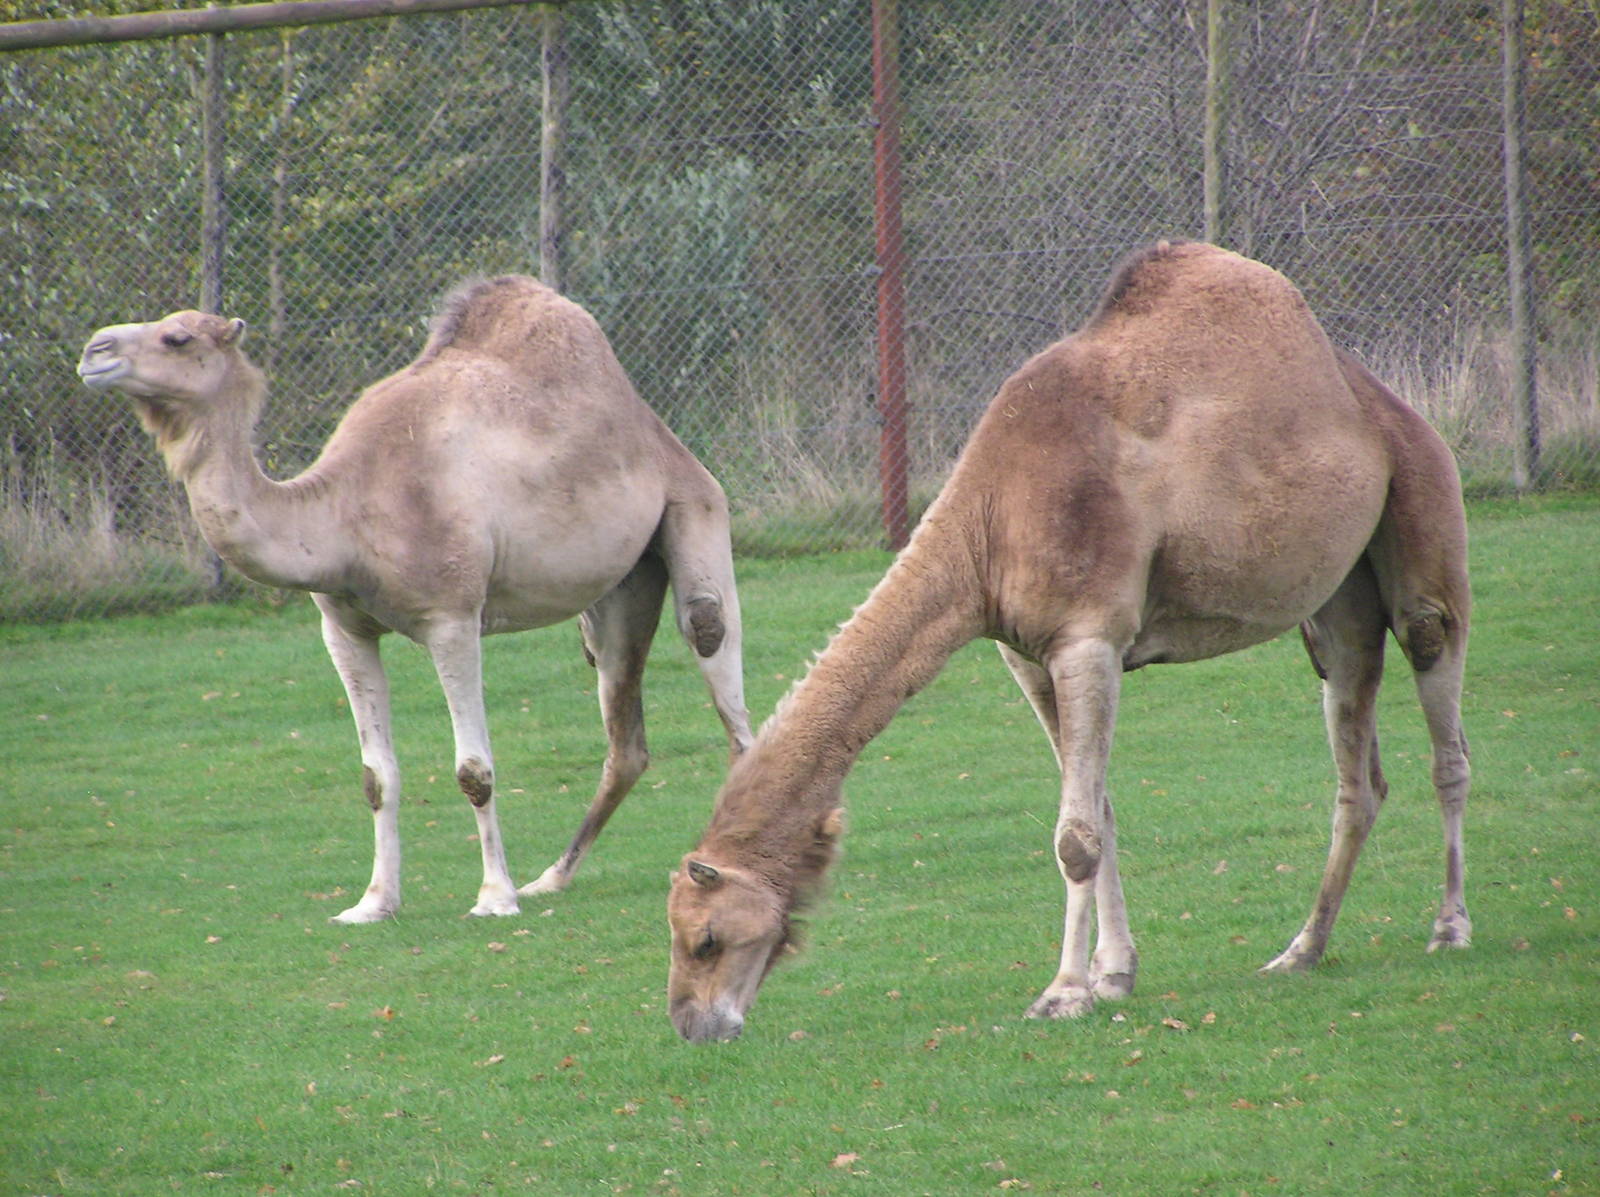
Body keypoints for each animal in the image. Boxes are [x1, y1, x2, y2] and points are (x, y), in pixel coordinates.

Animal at [79, 275, 753, 923]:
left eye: (177, 338)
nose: (94, 351)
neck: (344, 513)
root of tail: (655, 428)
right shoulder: (344, 628)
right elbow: (375, 777)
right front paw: (373, 903)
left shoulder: (452, 617)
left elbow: (474, 772)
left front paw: (494, 897)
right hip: (619, 590)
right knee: (625, 738)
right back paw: (551, 878)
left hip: (695, 508)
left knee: (718, 660)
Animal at [666, 241, 1471, 1042]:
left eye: (705, 938)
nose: (692, 1025)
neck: (988, 522)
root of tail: (1381, 402)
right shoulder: (1025, 653)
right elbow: (1101, 812)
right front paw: (1115, 975)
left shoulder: (1089, 639)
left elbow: (1075, 837)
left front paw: (1063, 992)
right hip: (1337, 606)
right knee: (1358, 769)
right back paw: (1302, 949)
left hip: (1424, 511)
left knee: (1442, 715)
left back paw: (1449, 928)